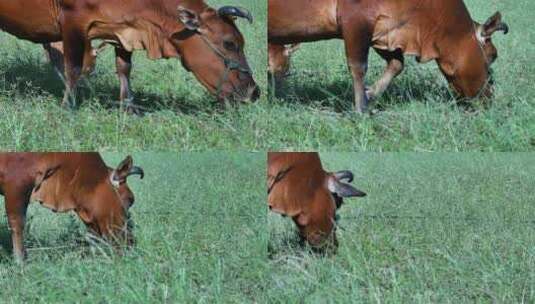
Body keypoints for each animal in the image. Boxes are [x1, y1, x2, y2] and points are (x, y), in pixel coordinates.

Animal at [0, 0, 260, 111]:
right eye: (229, 43)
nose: (254, 92)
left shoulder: (124, 30)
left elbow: (124, 69)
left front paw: (129, 107)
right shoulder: (73, 21)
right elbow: (73, 69)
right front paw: (67, 107)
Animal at [270, 0, 508, 111]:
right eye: (493, 55)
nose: (490, 99)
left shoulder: (385, 30)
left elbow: (397, 64)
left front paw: (371, 94)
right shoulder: (355, 19)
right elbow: (358, 66)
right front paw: (361, 109)